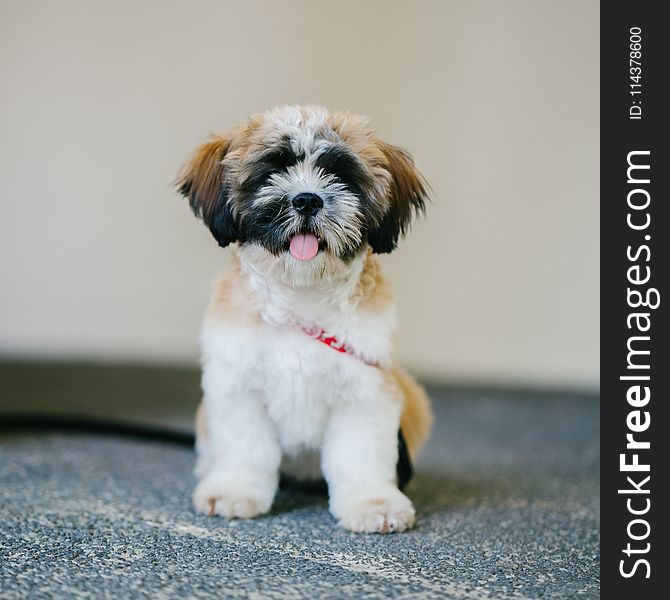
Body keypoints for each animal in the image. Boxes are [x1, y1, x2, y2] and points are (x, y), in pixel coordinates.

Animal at [176, 105, 434, 532]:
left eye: (340, 175)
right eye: (272, 170)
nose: (308, 200)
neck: (300, 297)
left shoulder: (367, 389)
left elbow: (361, 455)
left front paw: (373, 503)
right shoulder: (237, 386)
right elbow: (246, 448)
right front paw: (233, 490)